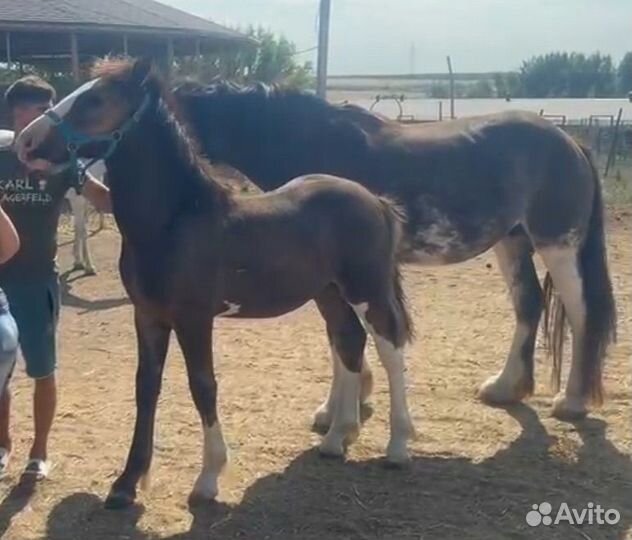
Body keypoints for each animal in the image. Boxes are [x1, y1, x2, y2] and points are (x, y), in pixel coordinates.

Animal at [14, 59, 414, 506]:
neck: (173, 221)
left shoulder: (193, 318)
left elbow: (202, 385)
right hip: (328, 293)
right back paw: (335, 440)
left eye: (96, 99)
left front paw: (207, 479)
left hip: (367, 289)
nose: (26, 142)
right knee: (349, 341)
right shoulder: (148, 316)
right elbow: (145, 387)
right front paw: (126, 483)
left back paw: (398, 447)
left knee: (389, 346)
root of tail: (376, 200)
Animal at [174, 82, 616, 424]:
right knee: (529, 303)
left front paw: (336, 409)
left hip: (558, 244)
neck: (312, 141)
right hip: (512, 241)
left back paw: (572, 401)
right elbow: (341, 335)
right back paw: (506, 387)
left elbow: (343, 336)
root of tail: (572, 142)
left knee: (582, 312)